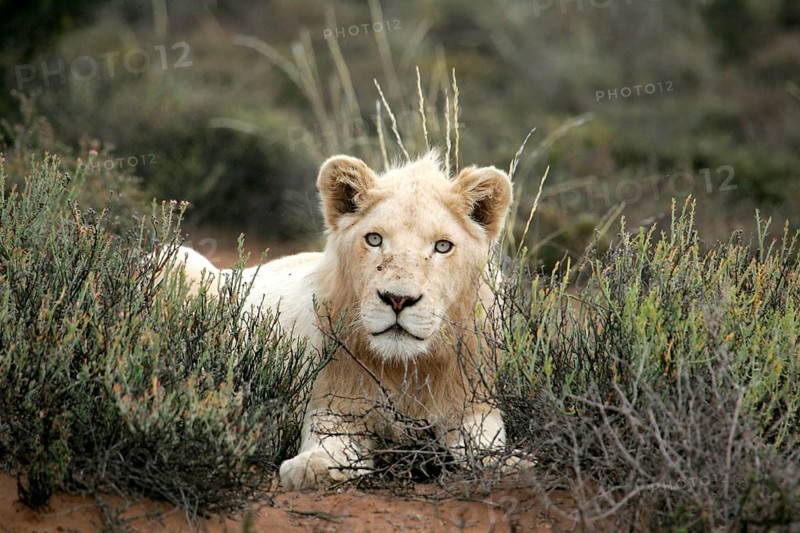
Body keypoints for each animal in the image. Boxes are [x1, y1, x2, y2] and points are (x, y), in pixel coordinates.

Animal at [171, 152, 513, 489]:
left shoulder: (472, 405)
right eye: (374, 239)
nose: (397, 299)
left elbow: (486, 443)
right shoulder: (332, 403)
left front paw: (509, 463)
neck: (405, 370)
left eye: (442, 246)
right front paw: (314, 467)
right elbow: (329, 441)